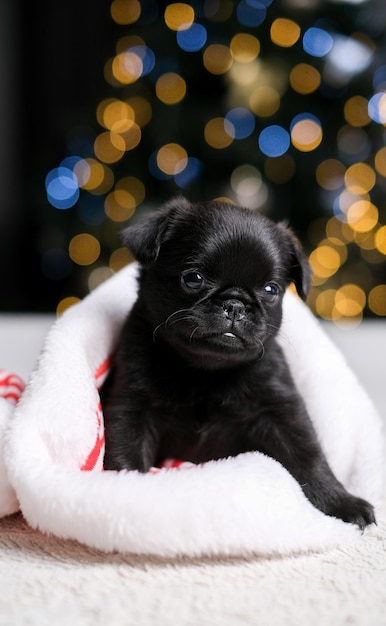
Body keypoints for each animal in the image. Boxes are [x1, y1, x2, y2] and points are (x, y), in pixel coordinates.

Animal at [102, 195, 374, 528]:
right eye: (193, 279)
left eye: (271, 291)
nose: (235, 304)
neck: (206, 370)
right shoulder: (133, 409)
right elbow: (127, 452)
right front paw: (129, 494)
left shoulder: (280, 412)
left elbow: (308, 456)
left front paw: (340, 502)